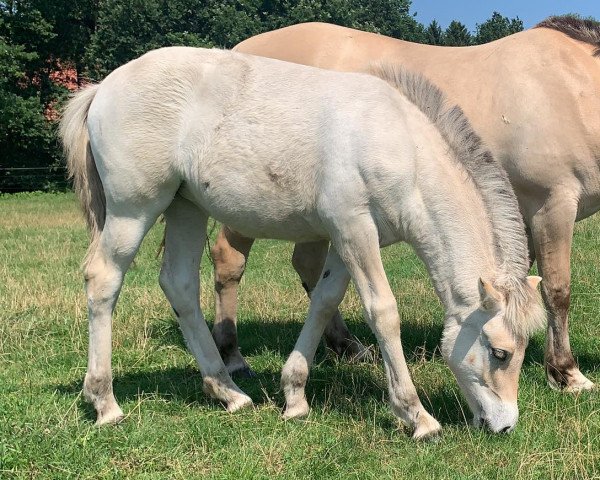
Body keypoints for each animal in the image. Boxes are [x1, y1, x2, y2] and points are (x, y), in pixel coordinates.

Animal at [59, 47, 544, 436]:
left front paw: (294, 396)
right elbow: (383, 312)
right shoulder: (354, 230)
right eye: (500, 353)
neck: (400, 145)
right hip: (134, 209)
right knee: (103, 279)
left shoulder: (347, 240)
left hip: (185, 208)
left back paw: (228, 391)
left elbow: (325, 301)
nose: (505, 425)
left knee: (179, 284)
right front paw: (416, 416)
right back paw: (104, 402)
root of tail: (102, 88)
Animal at [210, 16, 596, 392]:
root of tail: (238, 51)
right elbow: (556, 289)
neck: (570, 87)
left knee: (308, 265)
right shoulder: (551, 204)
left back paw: (346, 345)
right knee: (229, 260)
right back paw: (232, 356)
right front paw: (566, 372)